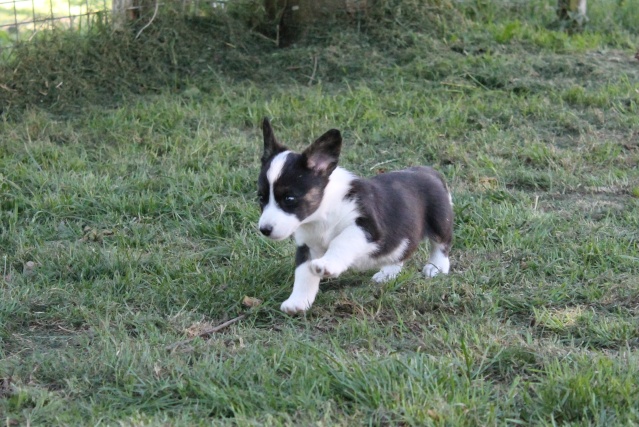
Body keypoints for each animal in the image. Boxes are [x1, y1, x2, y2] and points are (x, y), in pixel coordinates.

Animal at [258, 118, 452, 314]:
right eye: (260, 198)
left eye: (289, 199)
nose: (264, 230)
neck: (322, 214)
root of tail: (430, 172)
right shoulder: (307, 247)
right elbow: (303, 274)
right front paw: (297, 303)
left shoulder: (366, 227)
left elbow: (341, 241)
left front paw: (327, 265)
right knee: (401, 251)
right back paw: (387, 273)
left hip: (440, 221)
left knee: (441, 244)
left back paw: (436, 268)